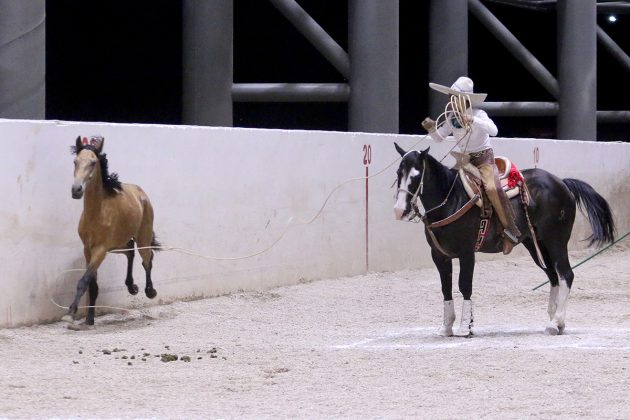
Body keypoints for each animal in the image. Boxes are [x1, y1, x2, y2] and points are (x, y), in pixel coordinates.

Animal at [62, 136, 160, 326]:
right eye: (75, 161)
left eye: (93, 162)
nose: (76, 190)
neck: (97, 213)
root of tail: (141, 193)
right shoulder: (88, 250)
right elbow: (92, 284)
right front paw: (89, 319)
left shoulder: (100, 250)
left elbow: (83, 281)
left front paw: (70, 314)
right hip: (117, 244)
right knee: (130, 251)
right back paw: (131, 287)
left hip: (142, 238)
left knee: (147, 259)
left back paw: (150, 291)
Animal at [396, 144, 616, 338]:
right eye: (398, 173)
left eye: (416, 177)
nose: (399, 210)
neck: (451, 200)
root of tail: (562, 183)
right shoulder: (439, 255)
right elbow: (446, 288)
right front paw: (446, 327)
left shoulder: (467, 253)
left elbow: (464, 285)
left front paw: (465, 328)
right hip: (536, 245)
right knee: (553, 276)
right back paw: (555, 321)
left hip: (556, 241)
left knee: (566, 275)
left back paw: (555, 323)